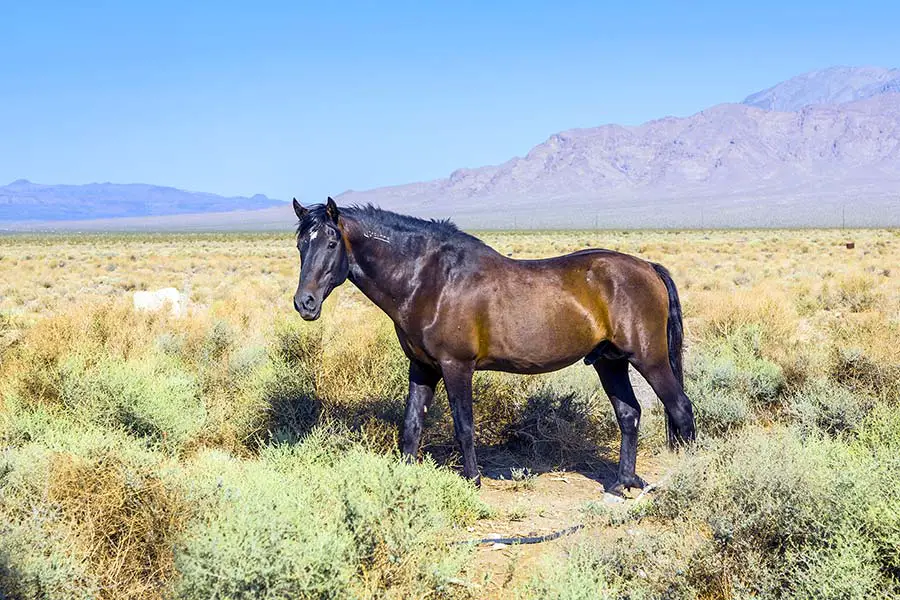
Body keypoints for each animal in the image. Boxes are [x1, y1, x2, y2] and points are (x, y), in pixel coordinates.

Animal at [290, 197, 696, 492]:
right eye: (300, 246)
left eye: (331, 243)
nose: (304, 303)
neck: (429, 280)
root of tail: (647, 267)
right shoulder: (422, 368)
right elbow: (411, 426)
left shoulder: (456, 367)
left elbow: (464, 426)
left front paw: (472, 480)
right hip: (609, 361)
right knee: (629, 415)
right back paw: (622, 483)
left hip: (650, 359)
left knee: (680, 409)